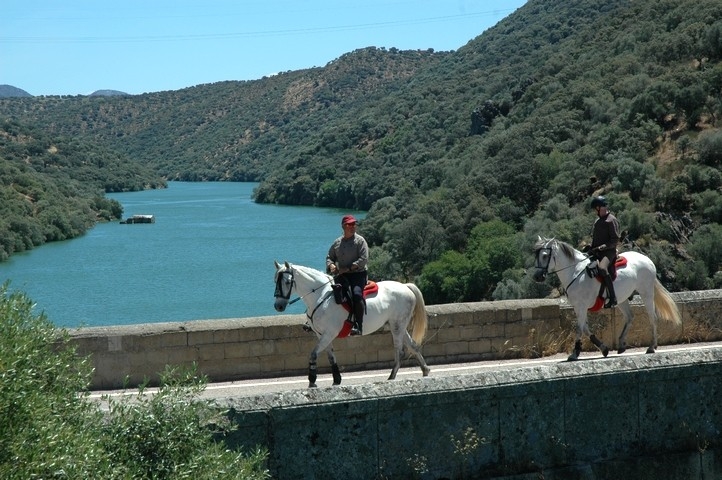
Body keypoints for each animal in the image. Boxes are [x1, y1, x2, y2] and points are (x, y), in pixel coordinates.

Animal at [270, 260, 428, 388]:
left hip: (397, 325)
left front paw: (312, 380)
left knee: (400, 350)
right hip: (398, 325)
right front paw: (336, 379)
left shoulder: (329, 333)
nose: (278, 306)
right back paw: (425, 370)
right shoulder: (322, 334)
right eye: (275, 280)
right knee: (413, 345)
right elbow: (331, 356)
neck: (320, 297)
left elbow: (314, 354)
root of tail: (405, 286)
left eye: (287, 282)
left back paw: (392, 376)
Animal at [528, 236, 680, 360]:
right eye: (536, 255)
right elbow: (585, 328)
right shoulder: (578, 307)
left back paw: (652, 346)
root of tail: (647, 259)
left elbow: (579, 328)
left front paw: (575, 353)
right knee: (630, 317)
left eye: (545, 255)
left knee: (652, 317)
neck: (575, 272)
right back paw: (621, 344)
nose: (537, 276)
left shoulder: (582, 306)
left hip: (646, 293)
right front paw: (603, 348)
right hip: (622, 299)